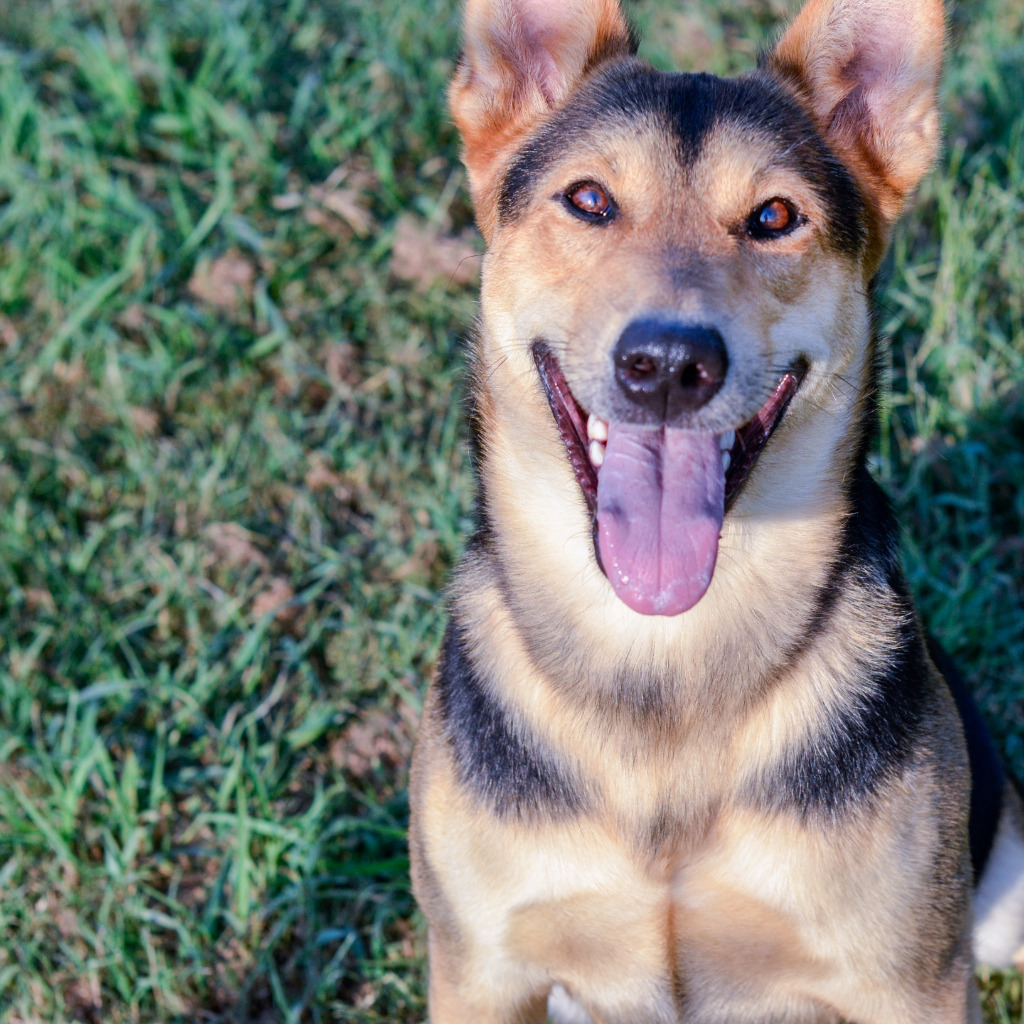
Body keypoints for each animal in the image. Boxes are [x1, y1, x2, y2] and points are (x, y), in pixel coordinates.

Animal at [407, 0, 1024, 1015]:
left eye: (774, 217)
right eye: (588, 200)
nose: (667, 364)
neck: (665, 663)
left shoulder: (912, 979)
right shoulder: (481, 970)